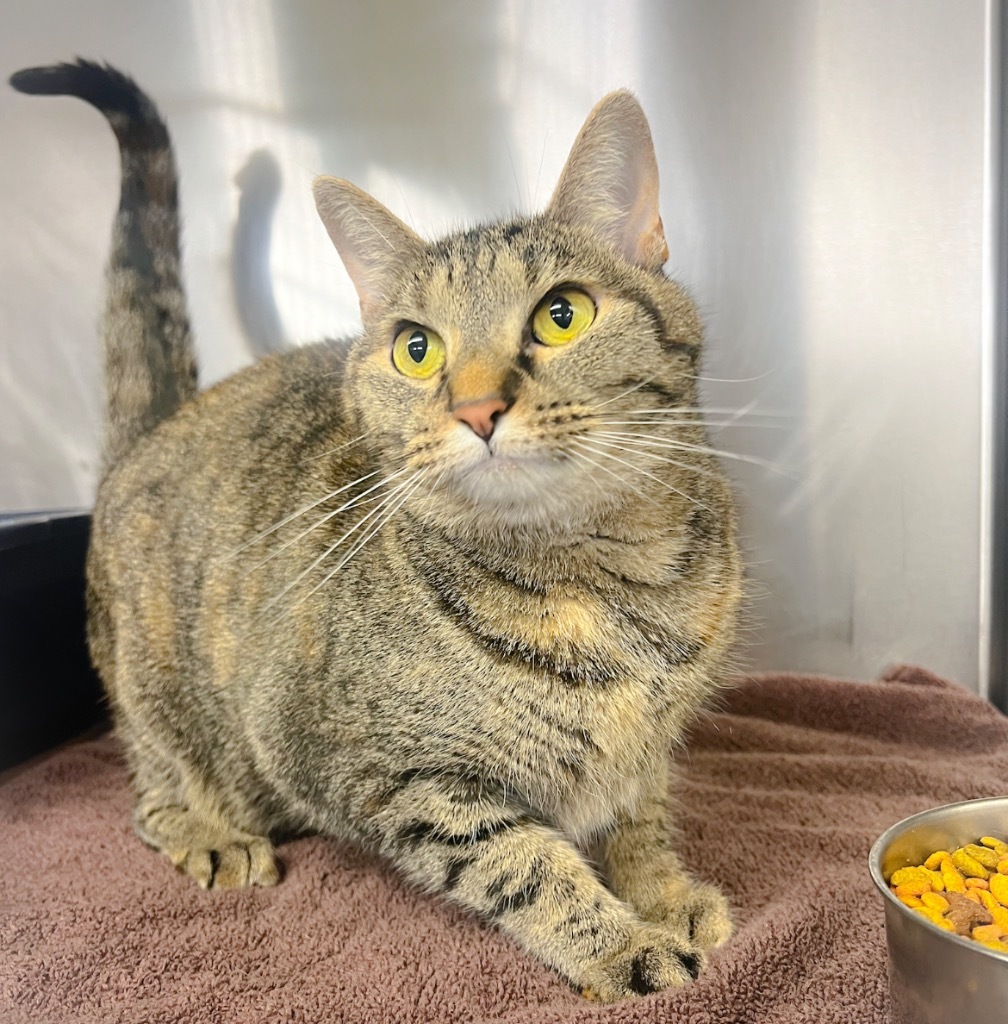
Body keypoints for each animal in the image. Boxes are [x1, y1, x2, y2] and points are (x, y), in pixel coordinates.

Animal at [9, 59, 741, 1003]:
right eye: (416, 349)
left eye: (562, 314)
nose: (477, 408)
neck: (602, 580)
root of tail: (153, 431)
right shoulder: (398, 781)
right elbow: (526, 866)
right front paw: (618, 942)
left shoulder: (648, 750)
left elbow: (639, 817)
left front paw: (662, 892)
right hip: (163, 704)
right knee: (152, 793)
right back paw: (209, 833)